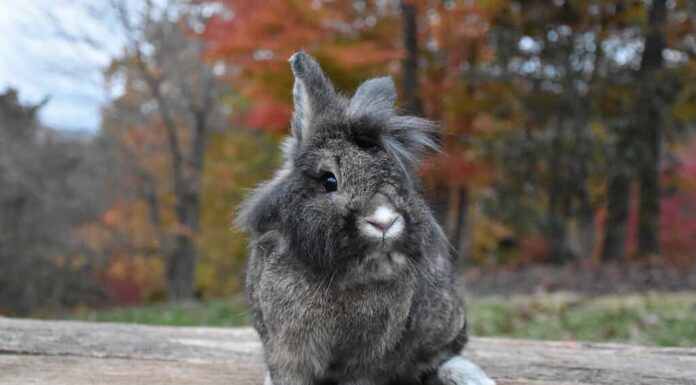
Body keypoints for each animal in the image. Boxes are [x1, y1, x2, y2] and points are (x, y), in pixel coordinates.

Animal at [239, 51, 494, 384]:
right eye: (329, 180)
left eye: (401, 179)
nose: (384, 220)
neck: (346, 275)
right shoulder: (288, 352)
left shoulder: (369, 360)